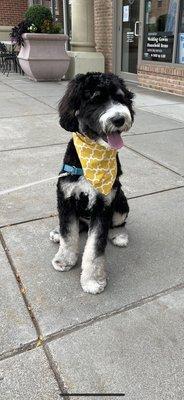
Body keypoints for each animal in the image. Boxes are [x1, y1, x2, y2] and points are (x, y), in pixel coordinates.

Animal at [49, 72, 134, 294]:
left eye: (121, 98)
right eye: (96, 99)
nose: (119, 119)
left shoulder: (103, 207)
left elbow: (95, 248)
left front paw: (93, 280)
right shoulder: (66, 199)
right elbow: (68, 234)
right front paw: (65, 259)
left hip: (121, 201)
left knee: (119, 222)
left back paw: (120, 235)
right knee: (74, 227)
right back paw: (57, 232)